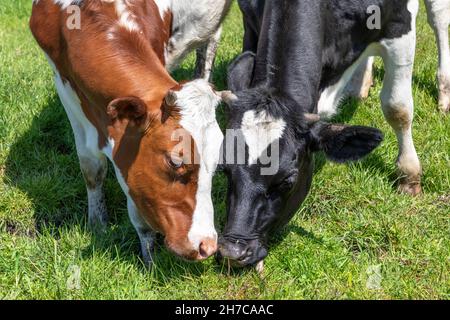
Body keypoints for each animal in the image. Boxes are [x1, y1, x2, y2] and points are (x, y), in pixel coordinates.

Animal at [29, 0, 225, 264]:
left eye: (216, 162)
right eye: (175, 162)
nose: (208, 245)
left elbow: (139, 213)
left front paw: (149, 259)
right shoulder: (65, 88)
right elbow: (91, 168)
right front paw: (98, 224)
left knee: (208, 46)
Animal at [218, 0, 422, 268]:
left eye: (287, 181)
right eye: (224, 170)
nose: (233, 252)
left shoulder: (400, 24)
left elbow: (398, 108)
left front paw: (409, 175)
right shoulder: (249, 21)